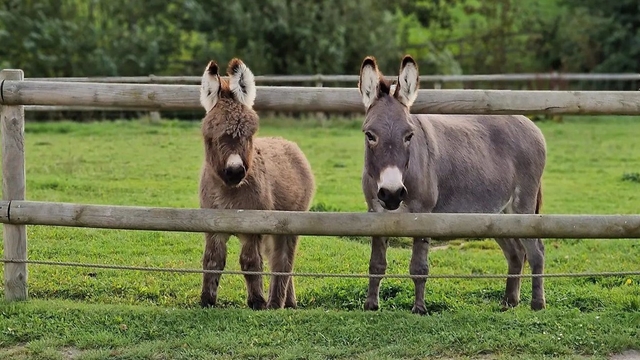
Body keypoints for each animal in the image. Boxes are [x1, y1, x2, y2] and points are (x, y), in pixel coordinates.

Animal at [196, 58, 314, 310]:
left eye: (249, 135)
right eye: (211, 137)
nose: (235, 171)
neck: (229, 193)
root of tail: (287, 143)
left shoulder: (253, 227)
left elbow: (250, 262)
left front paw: (257, 302)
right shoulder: (213, 226)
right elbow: (212, 261)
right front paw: (207, 300)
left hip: (289, 223)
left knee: (283, 262)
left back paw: (276, 303)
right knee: (276, 259)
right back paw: (289, 302)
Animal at [358, 54, 548, 316]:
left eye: (409, 136)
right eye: (370, 135)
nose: (393, 194)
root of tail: (530, 123)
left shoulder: (423, 214)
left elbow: (419, 267)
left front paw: (419, 308)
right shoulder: (375, 212)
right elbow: (376, 264)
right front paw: (371, 305)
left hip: (522, 206)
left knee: (536, 250)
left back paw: (537, 304)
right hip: (497, 214)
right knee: (516, 252)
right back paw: (509, 301)